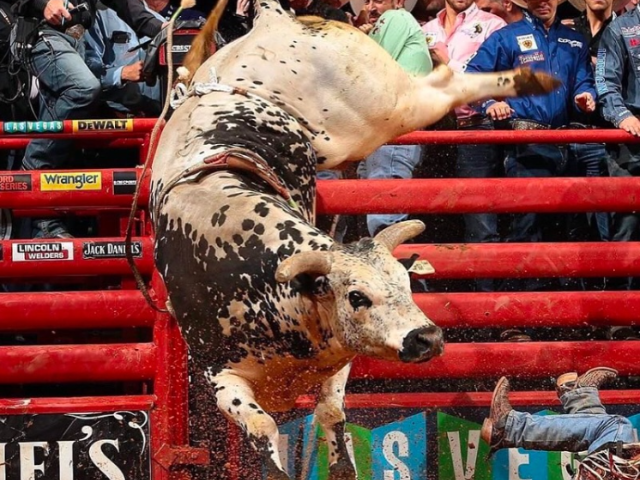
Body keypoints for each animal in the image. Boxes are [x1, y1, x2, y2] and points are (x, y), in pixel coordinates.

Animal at [151, 1, 560, 478]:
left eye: (405, 284)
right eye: (357, 296)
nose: (426, 338)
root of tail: (268, 22)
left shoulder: (337, 356)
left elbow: (329, 413)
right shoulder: (219, 375)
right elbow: (263, 427)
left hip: (371, 108)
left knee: (440, 87)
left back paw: (533, 79)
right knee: (438, 86)